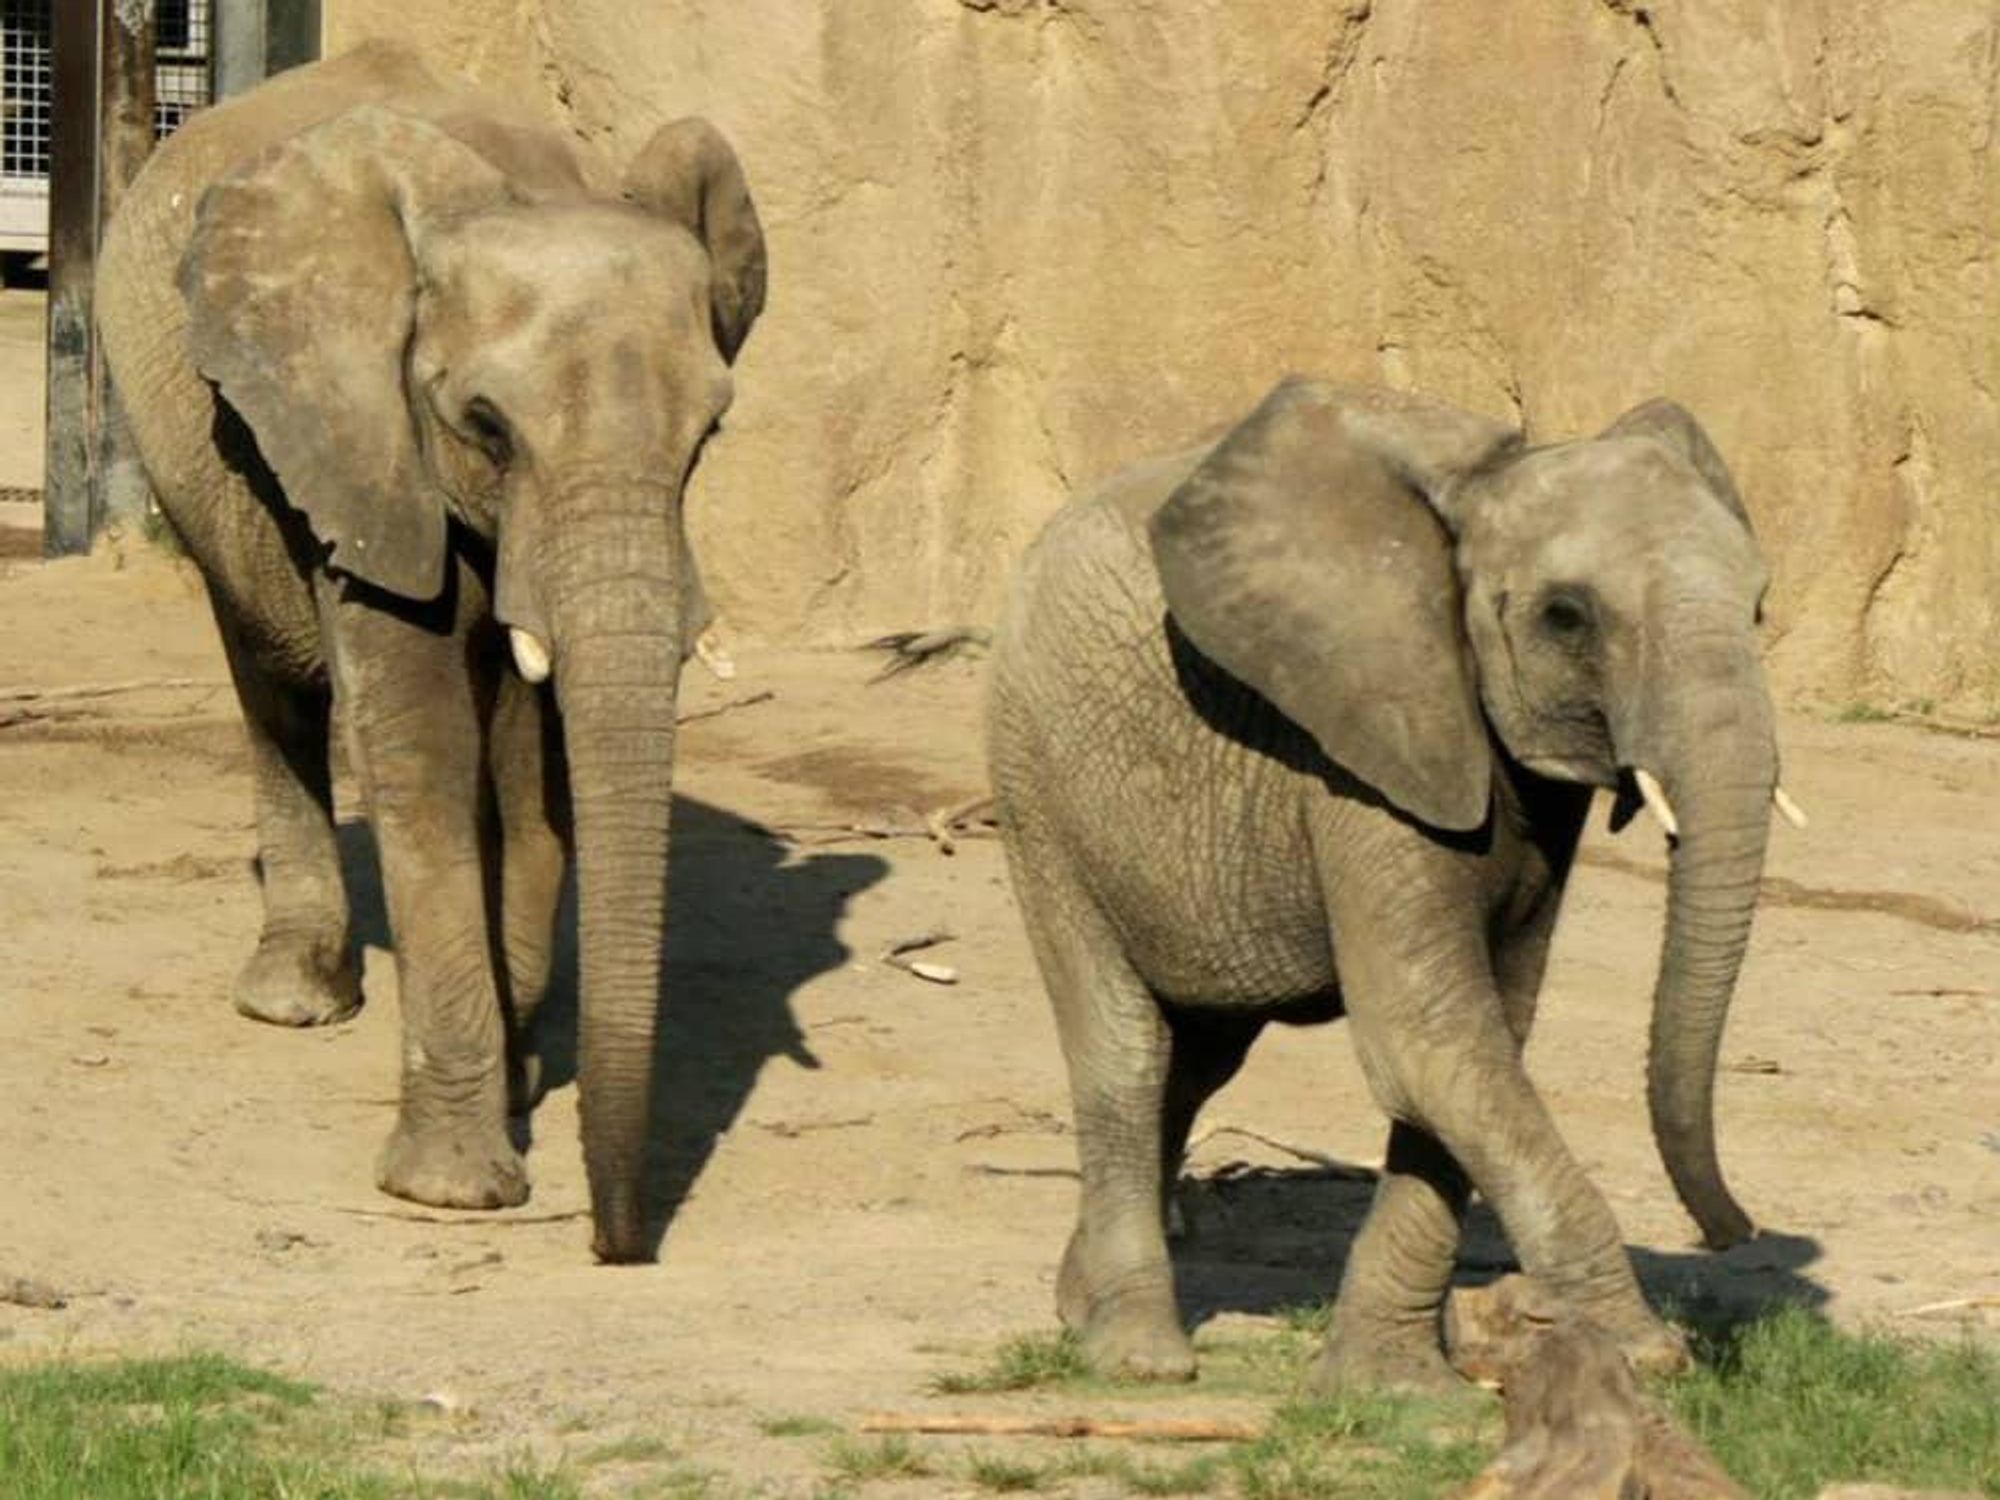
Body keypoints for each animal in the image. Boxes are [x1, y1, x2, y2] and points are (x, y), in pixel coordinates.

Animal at [95, 40, 765, 1264]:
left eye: (709, 435)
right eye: (486, 426)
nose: (617, 1246)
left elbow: (538, 766)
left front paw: (522, 1083)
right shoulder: (360, 435)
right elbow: (422, 746)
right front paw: (453, 1189)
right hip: (206, 467)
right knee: (270, 681)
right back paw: (294, 998)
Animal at [986, 378, 1803, 1387]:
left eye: (1758, 609)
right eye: (1566, 616)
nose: (1736, 1232)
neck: (1481, 490)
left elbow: (1479, 1043)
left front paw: (1395, 1387)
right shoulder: (1366, 743)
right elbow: (1429, 1040)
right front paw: (1644, 1352)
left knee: (1200, 1053)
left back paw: (1078, 1304)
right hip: (1036, 781)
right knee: (1125, 1048)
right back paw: (1138, 1356)